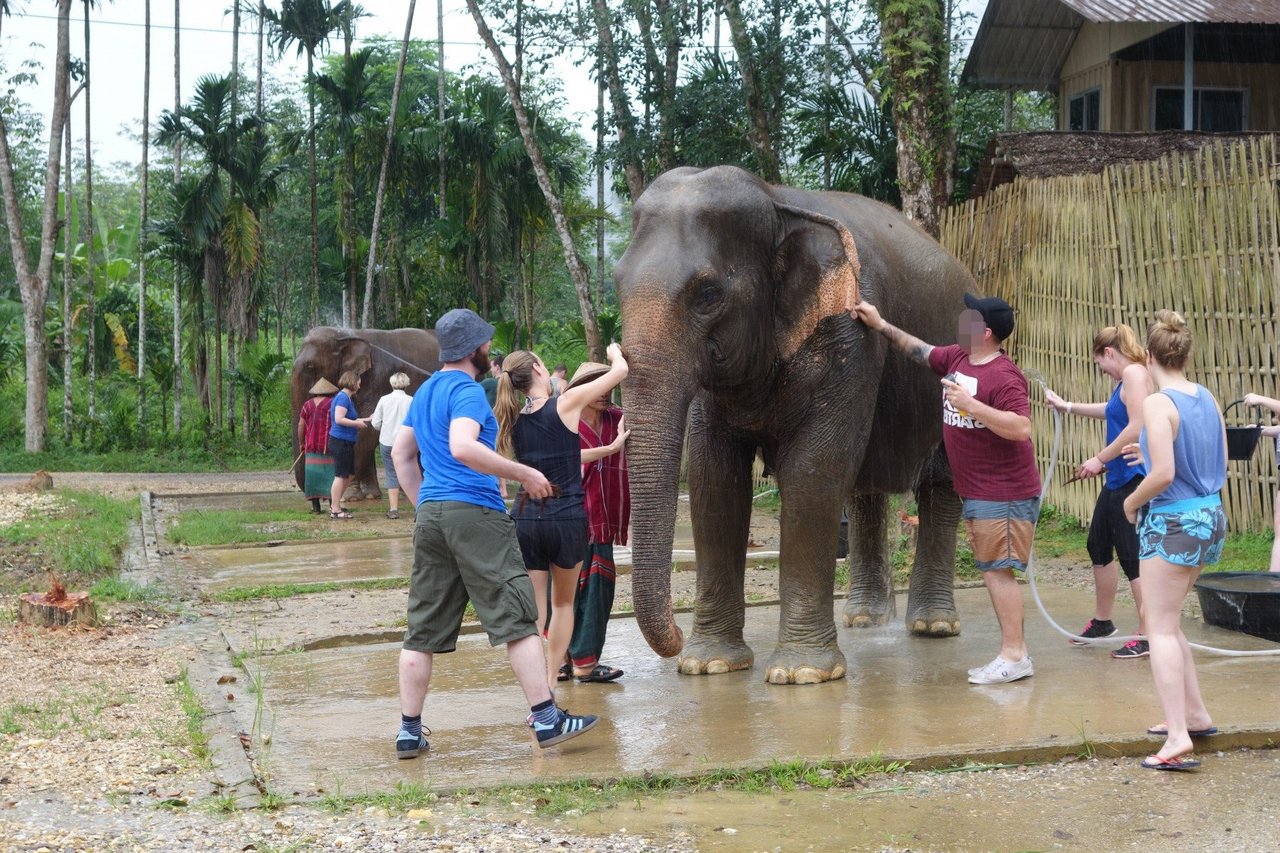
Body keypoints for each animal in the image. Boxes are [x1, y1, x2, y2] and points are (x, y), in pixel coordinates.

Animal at [289, 324, 440, 499]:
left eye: (311, 366)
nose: (321, 497)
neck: (351, 334)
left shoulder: (378, 379)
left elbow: (368, 430)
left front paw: (347, 496)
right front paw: (369, 496)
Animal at [614, 163, 972, 686]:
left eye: (708, 294)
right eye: (615, 282)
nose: (674, 639)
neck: (777, 200)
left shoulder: (850, 334)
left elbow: (813, 469)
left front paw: (801, 674)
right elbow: (714, 477)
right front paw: (708, 665)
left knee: (940, 483)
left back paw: (933, 627)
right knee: (864, 487)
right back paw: (865, 620)